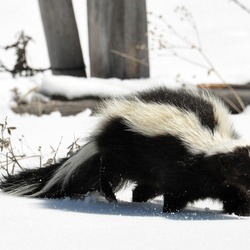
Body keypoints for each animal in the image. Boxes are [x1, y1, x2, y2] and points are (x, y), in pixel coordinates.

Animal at [0, 87, 250, 216]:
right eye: (244, 171)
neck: (210, 144)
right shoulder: (181, 167)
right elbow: (176, 193)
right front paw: (170, 211)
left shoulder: (223, 182)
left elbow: (233, 194)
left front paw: (240, 212)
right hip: (124, 151)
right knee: (107, 168)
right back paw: (111, 195)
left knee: (143, 187)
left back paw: (137, 199)